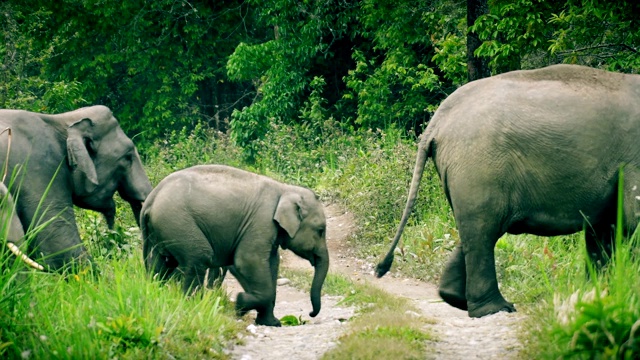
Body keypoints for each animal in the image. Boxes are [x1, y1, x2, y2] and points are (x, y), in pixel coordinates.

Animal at [141, 165, 330, 328]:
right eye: (321, 230)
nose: (310, 314)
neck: (285, 189)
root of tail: (151, 199)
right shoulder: (261, 222)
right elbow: (247, 261)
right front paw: (240, 304)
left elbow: (271, 264)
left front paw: (271, 323)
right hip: (177, 222)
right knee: (198, 258)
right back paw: (193, 305)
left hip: (163, 230)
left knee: (161, 264)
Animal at [376, 64, 640, 318]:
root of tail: (436, 123)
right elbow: (631, 221)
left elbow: (604, 230)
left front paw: (595, 297)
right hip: (479, 167)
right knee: (484, 231)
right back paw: (494, 309)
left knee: (476, 231)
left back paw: (455, 297)